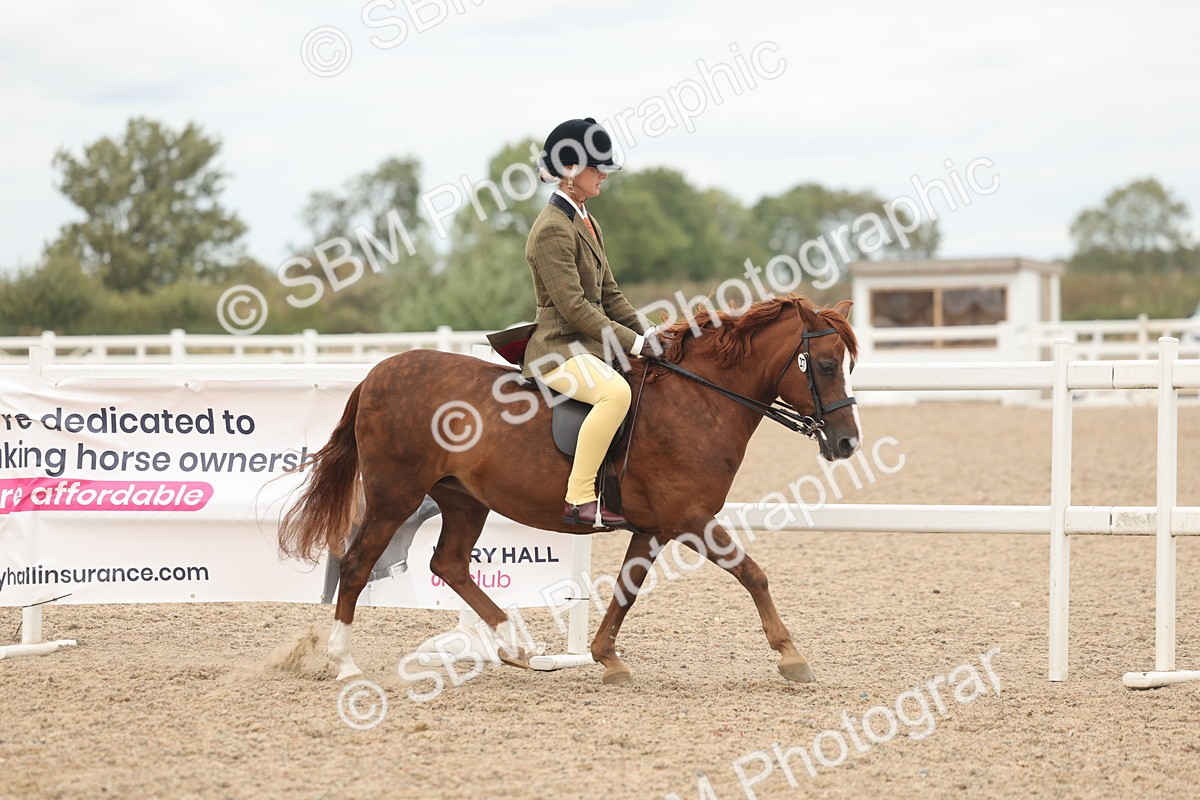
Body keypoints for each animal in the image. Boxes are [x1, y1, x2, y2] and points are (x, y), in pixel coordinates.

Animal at [278, 295, 861, 685]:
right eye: (826, 365)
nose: (848, 442)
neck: (699, 401)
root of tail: (378, 372)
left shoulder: (654, 528)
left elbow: (627, 589)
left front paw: (606, 658)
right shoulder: (690, 518)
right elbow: (753, 573)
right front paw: (791, 656)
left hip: (463, 499)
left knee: (449, 564)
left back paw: (515, 645)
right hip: (394, 495)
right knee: (358, 565)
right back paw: (345, 663)